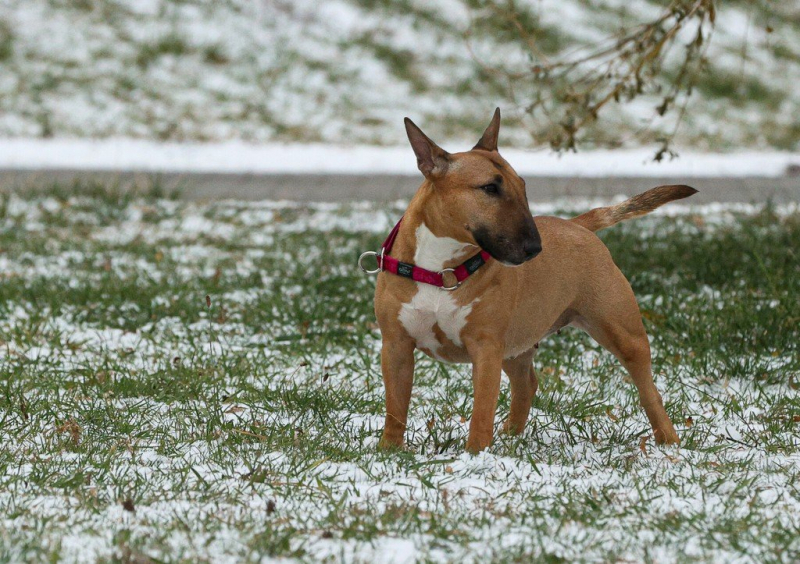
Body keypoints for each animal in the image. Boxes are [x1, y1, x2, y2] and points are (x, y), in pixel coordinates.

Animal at [368, 109, 692, 454]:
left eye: (522, 187)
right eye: (490, 188)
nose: (535, 248)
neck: (441, 270)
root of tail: (579, 226)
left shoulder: (486, 348)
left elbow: (482, 409)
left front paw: (476, 454)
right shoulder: (396, 345)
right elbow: (395, 405)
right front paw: (388, 450)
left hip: (621, 329)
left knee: (648, 389)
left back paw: (669, 441)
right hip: (517, 340)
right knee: (526, 383)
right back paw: (511, 436)